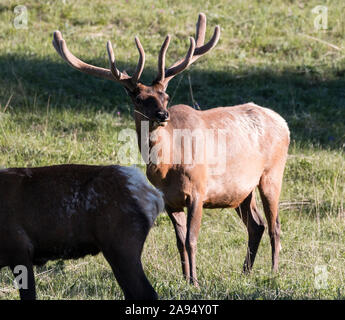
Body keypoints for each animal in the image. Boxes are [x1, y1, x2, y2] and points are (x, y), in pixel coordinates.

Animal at [53, 13, 290, 286]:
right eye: (138, 99)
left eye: (165, 97)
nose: (162, 115)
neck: (169, 166)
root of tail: (283, 122)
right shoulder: (168, 200)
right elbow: (179, 242)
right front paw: (186, 279)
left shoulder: (199, 190)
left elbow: (191, 239)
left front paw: (195, 282)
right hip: (241, 190)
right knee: (256, 224)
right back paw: (245, 272)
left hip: (272, 173)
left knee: (274, 225)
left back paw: (274, 271)